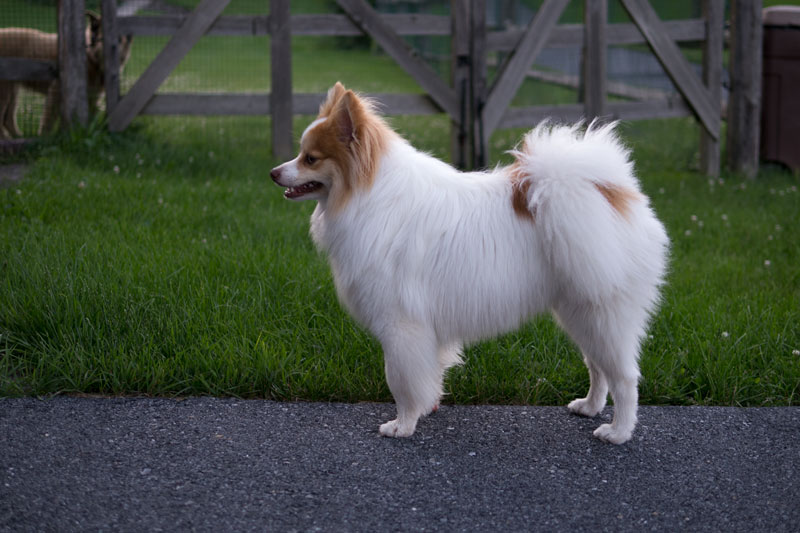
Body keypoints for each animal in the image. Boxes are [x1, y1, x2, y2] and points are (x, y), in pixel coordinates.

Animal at [270, 82, 668, 440]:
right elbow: (427, 376)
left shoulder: (401, 324)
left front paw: (402, 425)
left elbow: (401, 381)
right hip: (580, 311)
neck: (369, 197)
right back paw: (590, 407)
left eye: (310, 158)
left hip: (602, 313)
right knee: (598, 367)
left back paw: (618, 431)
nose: (273, 172)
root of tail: (614, 193)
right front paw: (426, 409)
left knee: (625, 377)